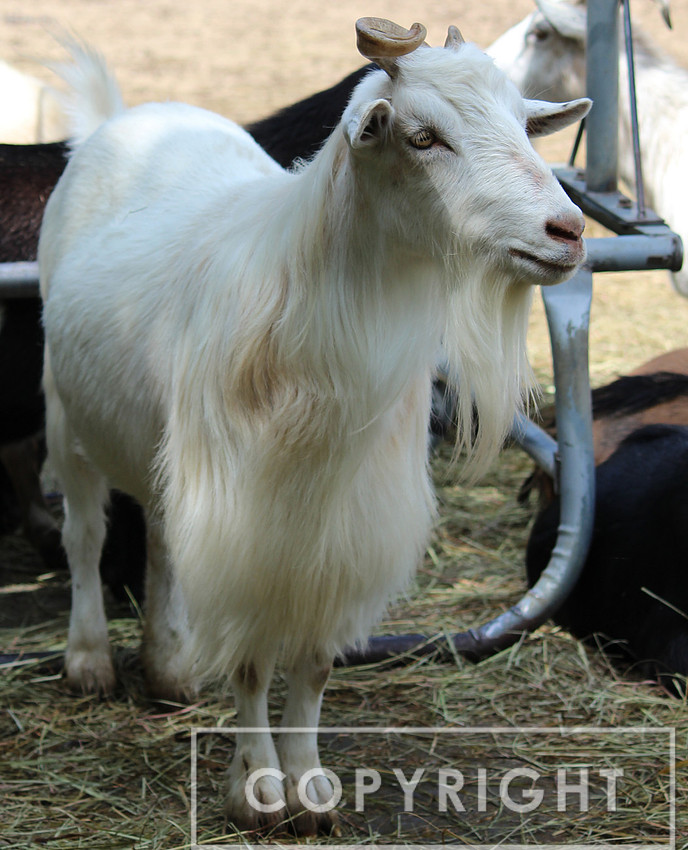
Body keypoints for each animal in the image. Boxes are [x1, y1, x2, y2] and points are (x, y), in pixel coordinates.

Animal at [39, 22, 589, 833]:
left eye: (526, 124)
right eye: (423, 137)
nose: (567, 231)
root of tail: (128, 114)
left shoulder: (345, 527)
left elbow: (317, 660)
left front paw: (312, 787)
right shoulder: (250, 526)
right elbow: (252, 660)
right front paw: (261, 790)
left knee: (164, 538)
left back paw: (170, 666)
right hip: (63, 410)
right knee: (85, 535)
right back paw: (89, 660)